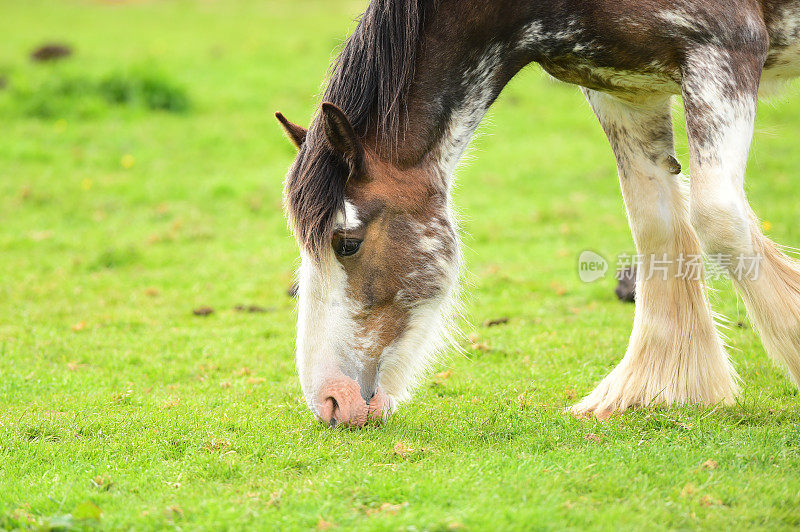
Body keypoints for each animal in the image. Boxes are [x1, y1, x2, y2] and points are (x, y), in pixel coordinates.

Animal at [276, 0, 800, 424]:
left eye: (347, 243)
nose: (330, 402)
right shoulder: (624, 91)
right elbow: (656, 223)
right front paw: (660, 388)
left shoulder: (726, 49)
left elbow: (717, 218)